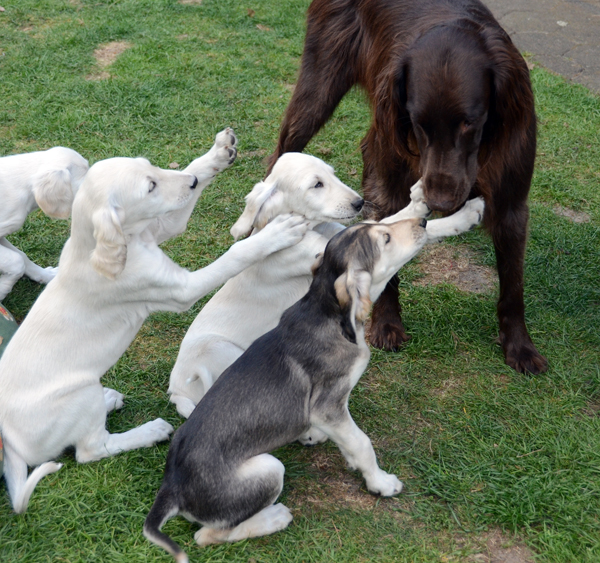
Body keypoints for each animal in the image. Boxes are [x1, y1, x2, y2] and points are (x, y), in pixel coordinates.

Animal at [270, 0, 548, 374]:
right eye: (418, 123)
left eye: (470, 123)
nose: (440, 202)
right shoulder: (394, 170)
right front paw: (387, 323)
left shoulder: (511, 200)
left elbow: (513, 283)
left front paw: (519, 346)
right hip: (320, 88)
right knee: (285, 149)